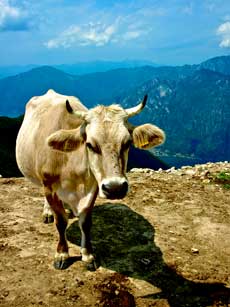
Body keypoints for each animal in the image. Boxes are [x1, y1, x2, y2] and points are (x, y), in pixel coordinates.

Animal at [15, 89, 164, 272]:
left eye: (127, 143)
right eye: (90, 145)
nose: (115, 188)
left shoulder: (94, 187)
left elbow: (85, 223)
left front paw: (87, 255)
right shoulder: (50, 186)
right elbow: (60, 222)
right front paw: (62, 254)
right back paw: (48, 212)